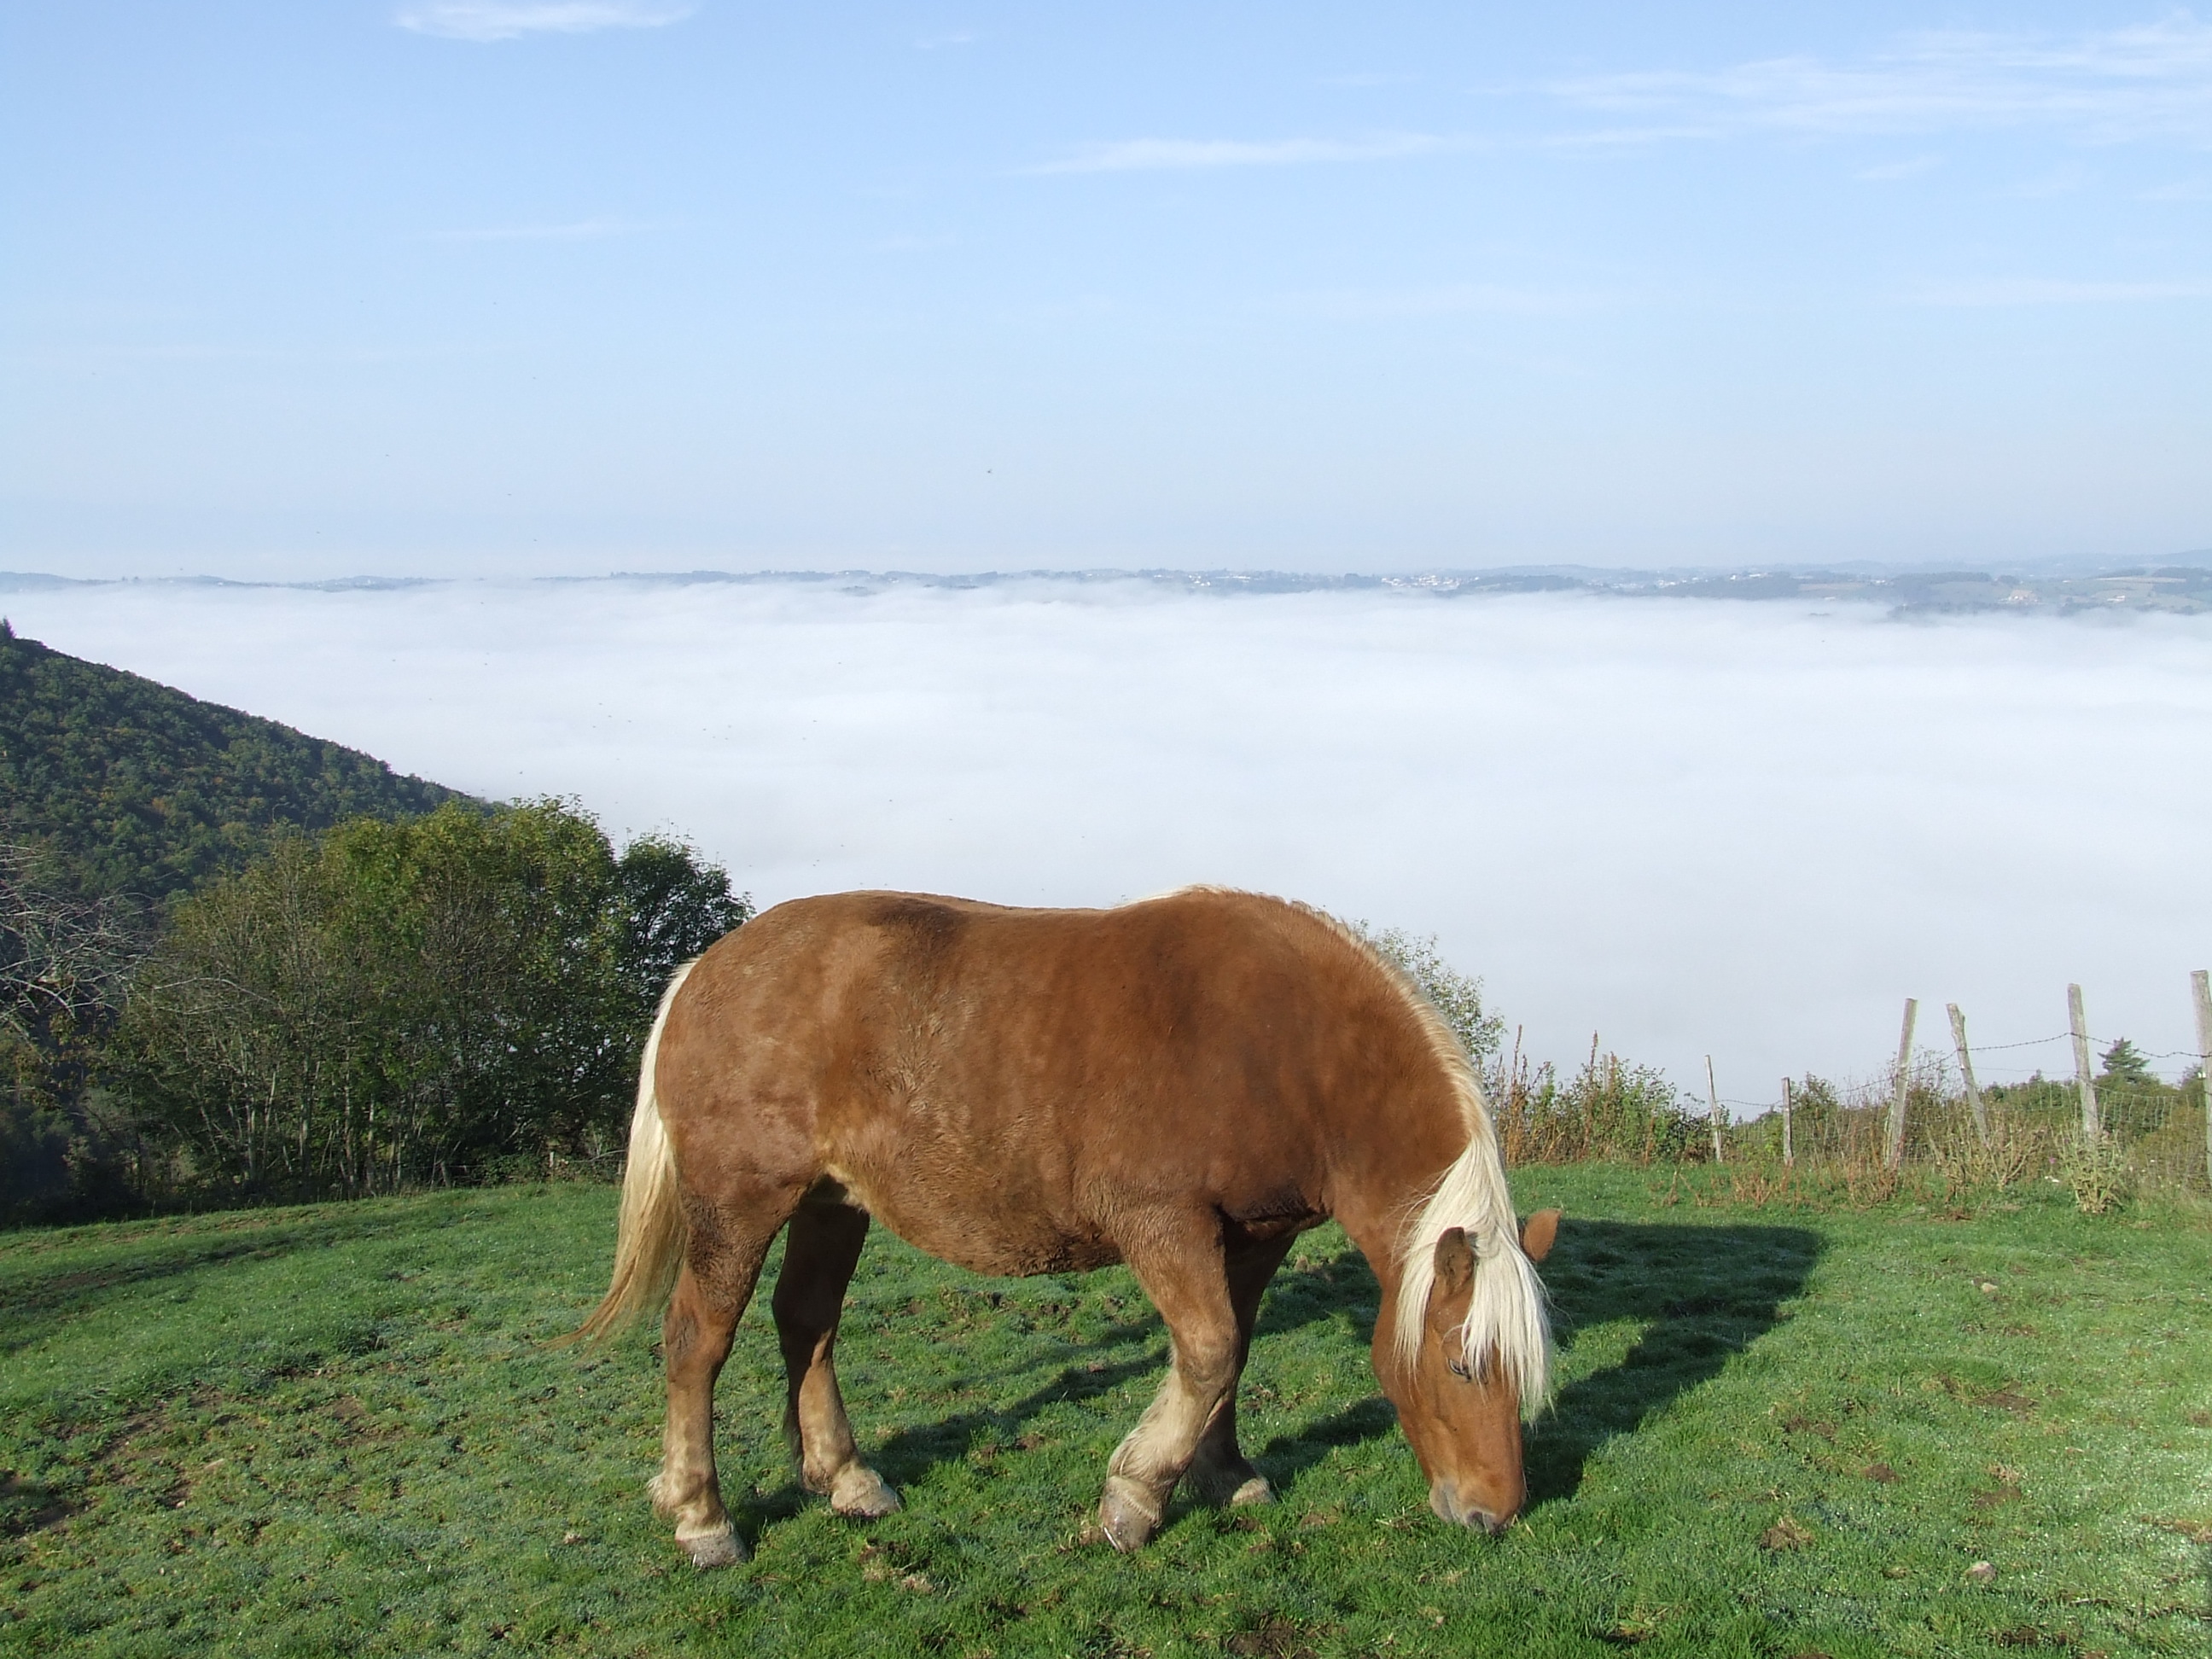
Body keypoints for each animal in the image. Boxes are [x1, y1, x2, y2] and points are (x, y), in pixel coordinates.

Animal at [573, 887, 1558, 1566]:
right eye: (1463, 1366)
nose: (1496, 1512)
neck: (1288, 1049)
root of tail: (702, 971)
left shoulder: (1253, 1237)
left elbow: (1232, 1355)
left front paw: (1226, 1475)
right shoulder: (1163, 1224)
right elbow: (1208, 1351)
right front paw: (1135, 1499)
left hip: (830, 1204)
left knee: (806, 1325)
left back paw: (847, 1480)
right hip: (739, 1204)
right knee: (696, 1341)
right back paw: (702, 1520)